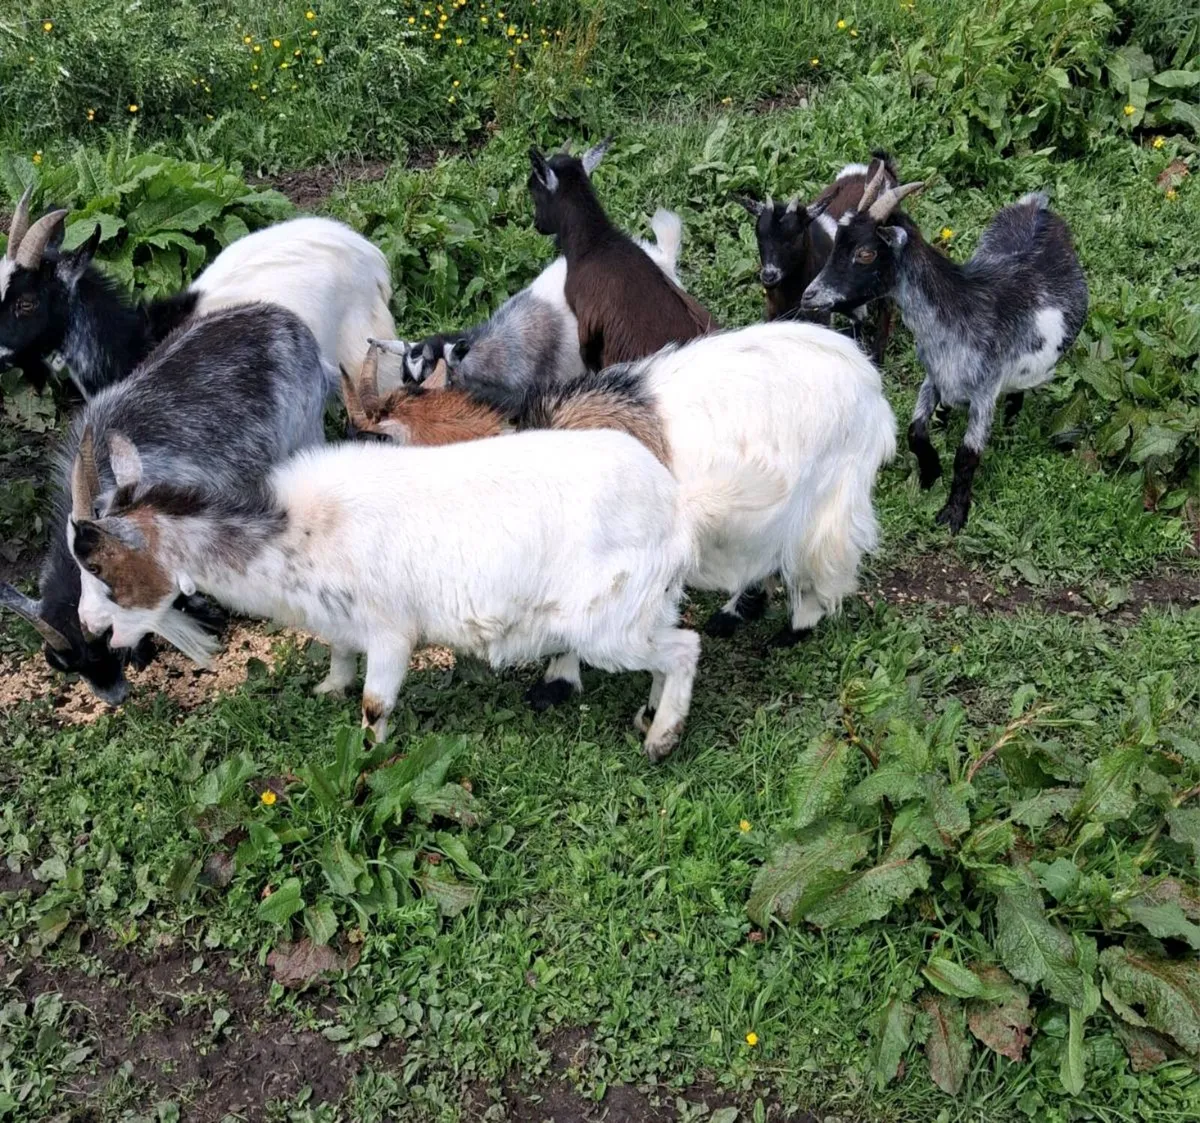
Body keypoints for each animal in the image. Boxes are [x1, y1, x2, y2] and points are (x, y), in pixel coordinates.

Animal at [68, 430, 703, 760]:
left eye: (99, 567)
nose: (91, 630)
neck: (302, 531)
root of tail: (673, 505)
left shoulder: (393, 632)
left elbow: (376, 702)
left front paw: (369, 753)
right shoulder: (345, 623)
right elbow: (339, 656)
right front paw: (327, 688)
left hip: (610, 622)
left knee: (684, 648)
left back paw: (662, 738)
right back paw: (647, 714)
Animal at [344, 321, 897, 707]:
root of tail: (867, 378)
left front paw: (555, 685)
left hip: (828, 499)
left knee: (819, 565)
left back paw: (792, 629)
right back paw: (736, 612)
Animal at [801, 170, 1088, 532]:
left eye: (865, 254)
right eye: (837, 241)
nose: (809, 296)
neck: (960, 309)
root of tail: (1039, 206)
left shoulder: (985, 390)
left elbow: (967, 456)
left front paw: (953, 514)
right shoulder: (934, 375)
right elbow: (915, 431)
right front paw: (929, 472)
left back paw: (1010, 424)